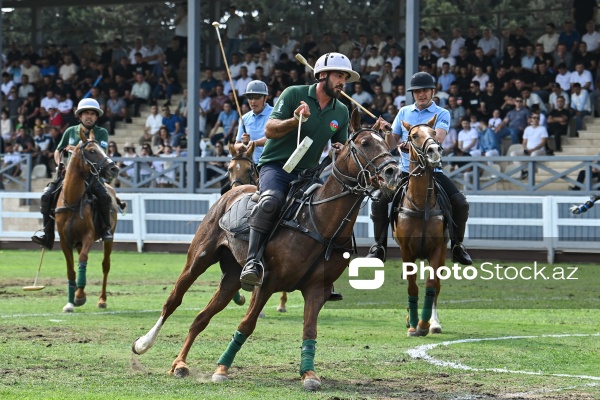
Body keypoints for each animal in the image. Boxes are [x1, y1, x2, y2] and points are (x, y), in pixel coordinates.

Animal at [54, 128, 123, 312]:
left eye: (102, 149)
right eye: (92, 151)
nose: (114, 169)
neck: (72, 200)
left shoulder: (88, 235)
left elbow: (83, 259)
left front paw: (79, 296)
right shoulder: (64, 241)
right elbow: (71, 269)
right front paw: (70, 302)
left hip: (110, 236)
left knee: (106, 265)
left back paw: (102, 300)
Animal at [392, 115, 448, 338]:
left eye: (434, 133)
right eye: (414, 135)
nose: (434, 151)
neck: (420, 203)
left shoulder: (437, 248)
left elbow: (432, 285)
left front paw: (425, 325)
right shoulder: (406, 250)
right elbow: (412, 286)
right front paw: (413, 324)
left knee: (437, 285)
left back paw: (434, 322)